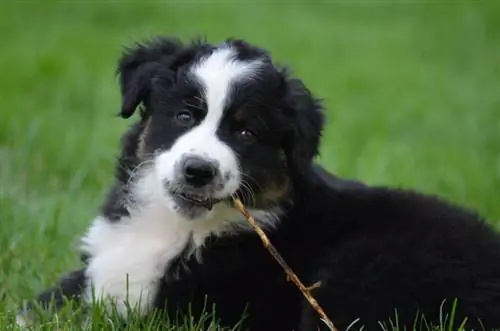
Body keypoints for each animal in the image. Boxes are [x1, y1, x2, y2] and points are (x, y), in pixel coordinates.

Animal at [17, 37, 500, 331]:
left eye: (247, 132)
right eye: (185, 114)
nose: (198, 170)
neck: (177, 228)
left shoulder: (190, 309)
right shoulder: (98, 269)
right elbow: (47, 300)